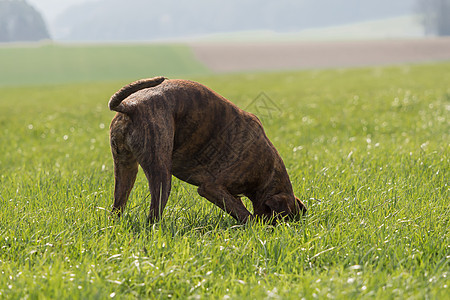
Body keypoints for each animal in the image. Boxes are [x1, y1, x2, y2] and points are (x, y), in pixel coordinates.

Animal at [108, 77, 306, 223]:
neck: (268, 171)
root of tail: (130, 106)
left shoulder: (230, 194)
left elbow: (238, 208)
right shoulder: (211, 188)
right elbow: (245, 216)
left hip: (125, 170)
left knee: (117, 208)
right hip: (161, 176)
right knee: (153, 217)